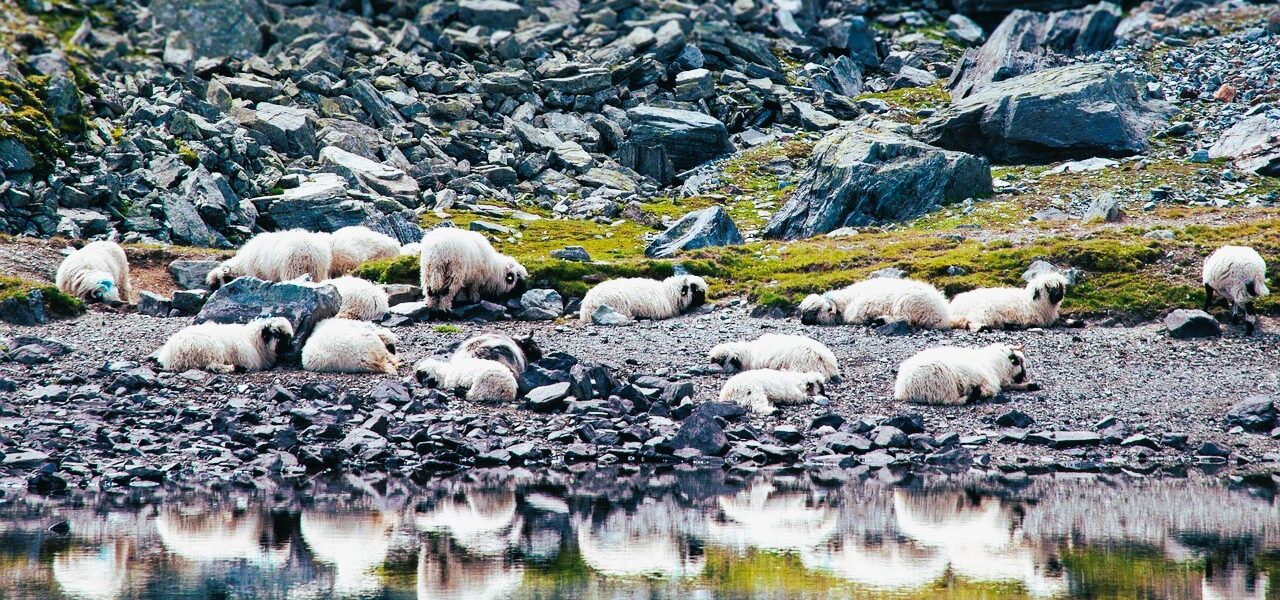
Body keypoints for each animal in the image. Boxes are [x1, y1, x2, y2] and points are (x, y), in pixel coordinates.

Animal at [154, 317, 293, 373]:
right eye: (278, 334)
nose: (290, 348)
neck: (253, 341)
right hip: (212, 349)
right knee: (212, 366)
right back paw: (234, 368)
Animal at [893, 343, 1038, 406]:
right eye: (1019, 361)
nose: (1024, 377)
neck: (994, 365)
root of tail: (902, 390)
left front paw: (1031, 385)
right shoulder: (989, 383)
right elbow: (992, 391)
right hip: (945, 384)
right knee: (950, 401)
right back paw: (970, 396)